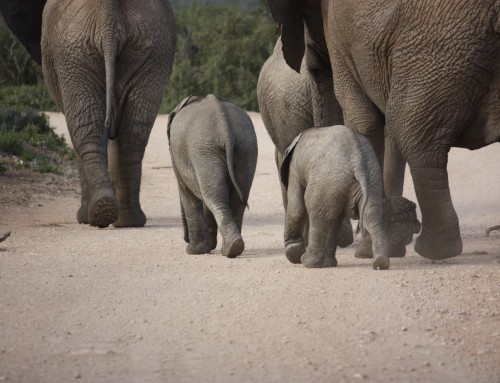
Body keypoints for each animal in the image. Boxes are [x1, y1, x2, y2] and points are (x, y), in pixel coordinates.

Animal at [0, 0, 176, 228]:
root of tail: (109, 20)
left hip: (74, 52)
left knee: (86, 130)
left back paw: (94, 215)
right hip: (152, 47)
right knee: (132, 135)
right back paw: (126, 220)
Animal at [282, 126, 418, 270]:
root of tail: (357, 161)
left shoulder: (294, 169)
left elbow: (296, 209)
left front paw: (294, 255)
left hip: (329, 180)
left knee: (320, 217)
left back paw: (309, 262)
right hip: (370, 178)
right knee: (369, 215)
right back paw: (379, 263)